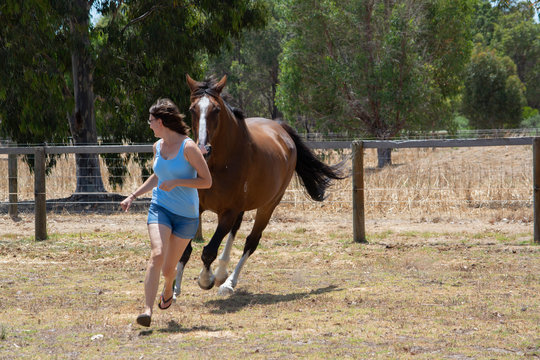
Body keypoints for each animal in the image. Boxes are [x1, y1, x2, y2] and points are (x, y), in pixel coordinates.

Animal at [173, 74, 342, 296]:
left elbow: (209, 250)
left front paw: (205, 279)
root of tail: (280, 129)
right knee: (235, 233)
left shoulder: (228, 212)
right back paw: (222, 274)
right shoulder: (196, 207)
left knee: (251, 242)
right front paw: (173, 290)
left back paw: (227, 282)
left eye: (216, 110)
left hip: (267, 206)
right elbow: (184, 249)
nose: (202, 149)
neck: (217, 165)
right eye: (192, 109)